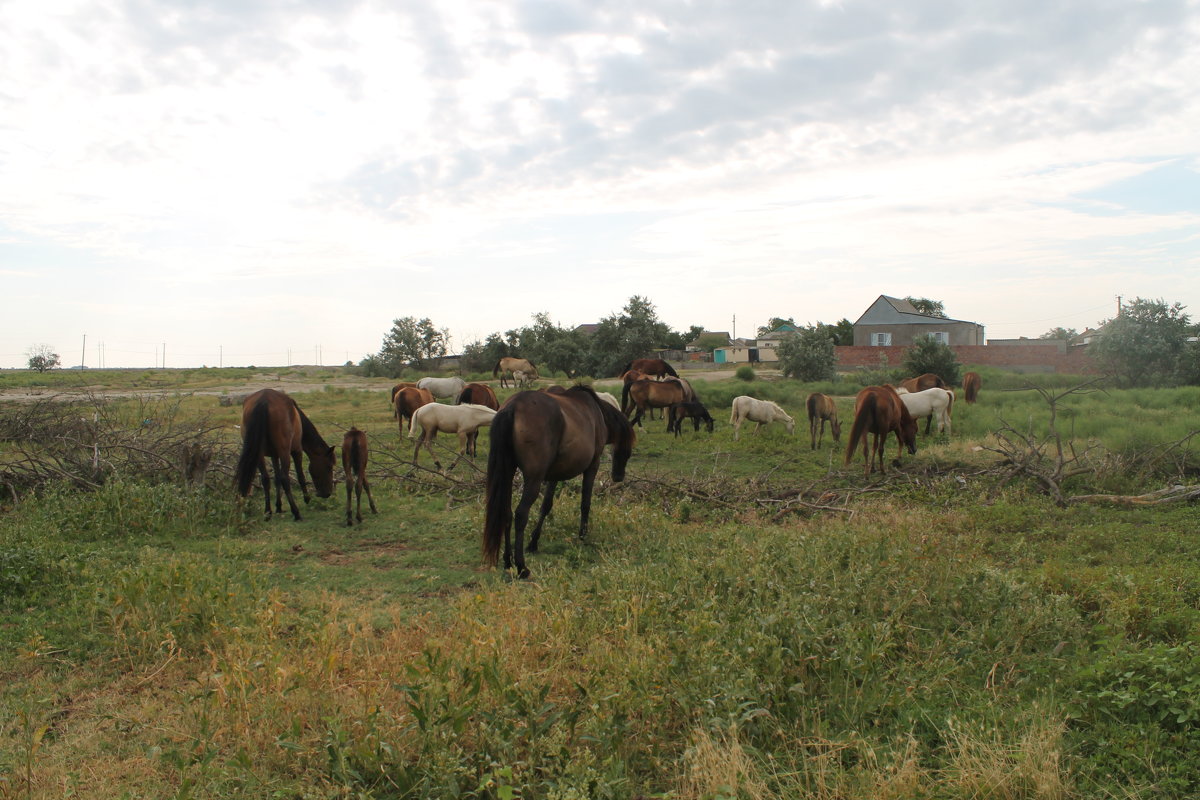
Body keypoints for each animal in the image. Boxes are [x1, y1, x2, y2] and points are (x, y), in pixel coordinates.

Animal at [236, 386, 336, 520]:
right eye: (329, 467)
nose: (327, 493)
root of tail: (264, 400)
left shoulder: (274, 455)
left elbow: (276, 478)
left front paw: (278, 506)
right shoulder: (296, 450)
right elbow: (300, 476)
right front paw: (307, 498)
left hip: (259, 455)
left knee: (265, 479)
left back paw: (268, 512)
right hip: (285, 452)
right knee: (285, 478)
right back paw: (296, 512)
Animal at [484, 386, 643, 578]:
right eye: (627, 450)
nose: (618, 477)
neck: (598, 413)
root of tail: (513, 406)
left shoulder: (554, 475)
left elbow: (546, 506)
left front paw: (534, 542)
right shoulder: (593, 465)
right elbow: (585, 503)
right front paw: (582, 535)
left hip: (508, 473)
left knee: (506, 513)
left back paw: (508, 561)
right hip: (534, 479)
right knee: (521, 514)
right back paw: (521, 566)